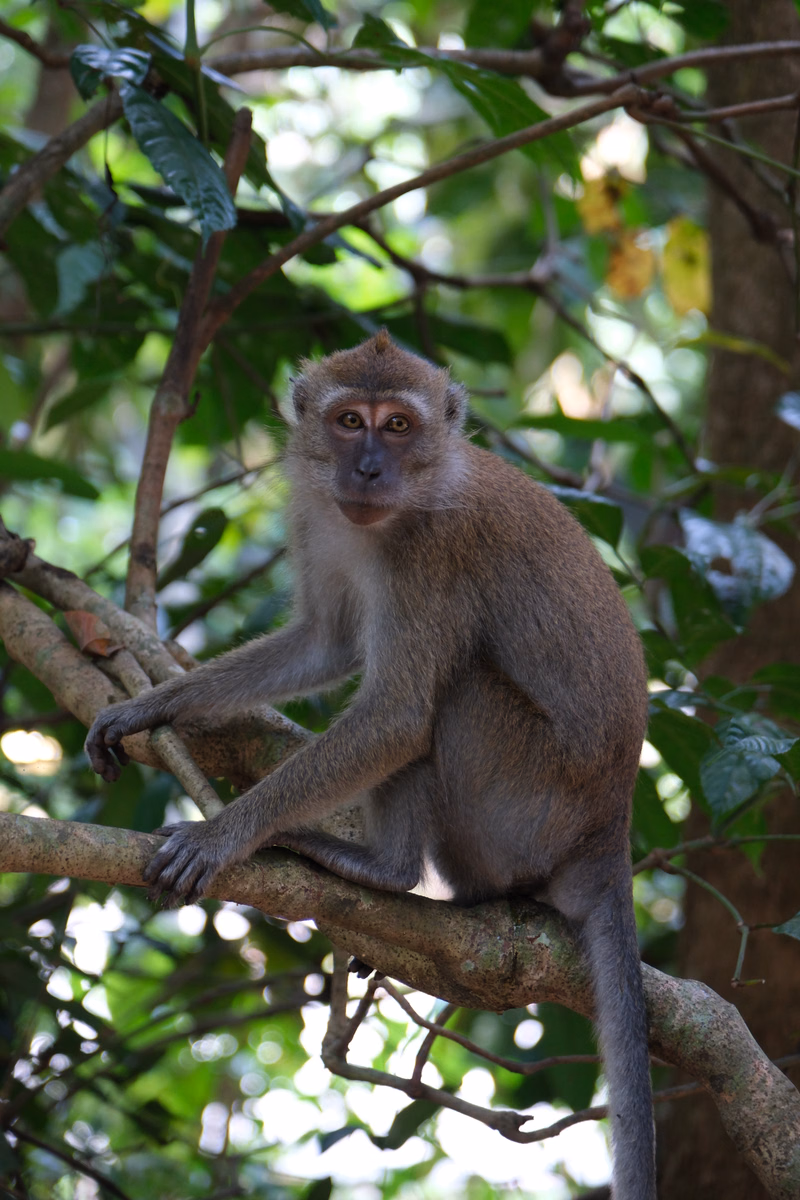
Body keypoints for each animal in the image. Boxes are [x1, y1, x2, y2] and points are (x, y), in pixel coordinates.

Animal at [85, 330, 655, 1200]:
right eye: (350, 421)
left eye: (398, 425)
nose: (368, 470)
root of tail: (608, 828)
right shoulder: (317, 516)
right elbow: (325, 643)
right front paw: (153, 706)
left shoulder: (435, 553)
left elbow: (398, 715)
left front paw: (226, 832)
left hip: (527, 804)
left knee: (454, 694)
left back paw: (383, 869)